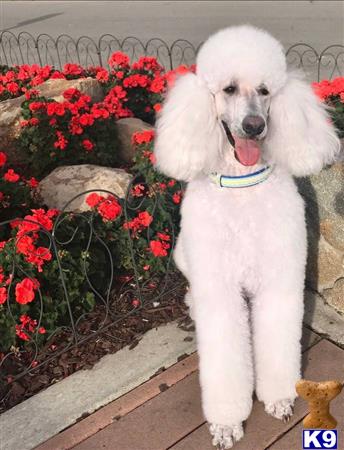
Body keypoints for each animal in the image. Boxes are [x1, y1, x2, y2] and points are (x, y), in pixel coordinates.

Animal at [155, 25, 340, 450]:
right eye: (228, 88)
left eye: (266, 90)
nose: (255, 126)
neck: (243, 187)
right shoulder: (219, 290)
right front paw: (227, 424)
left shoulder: (279, 282)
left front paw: (279, 399)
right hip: (186, 257)